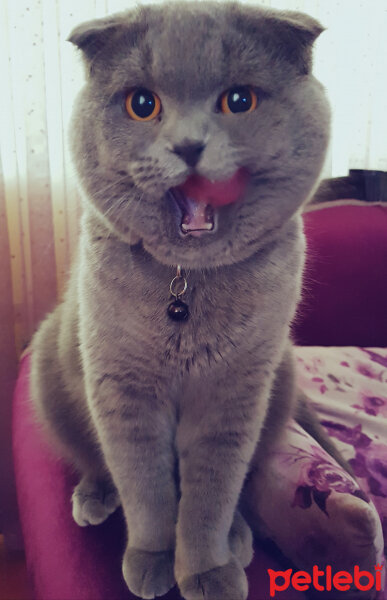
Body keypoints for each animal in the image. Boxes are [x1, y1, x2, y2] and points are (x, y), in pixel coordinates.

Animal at [31, 4, 344, 600]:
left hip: (281, 377)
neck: (186, 286)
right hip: (50, 365)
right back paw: (94, 496)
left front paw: (205, 571)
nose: (188, 146)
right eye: (142, 104)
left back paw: (239, 536)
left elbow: (211, 492)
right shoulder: (121, 388)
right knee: (89, 456)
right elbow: (146, 486)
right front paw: (153, 560)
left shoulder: (235, 393)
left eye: (239, 100)